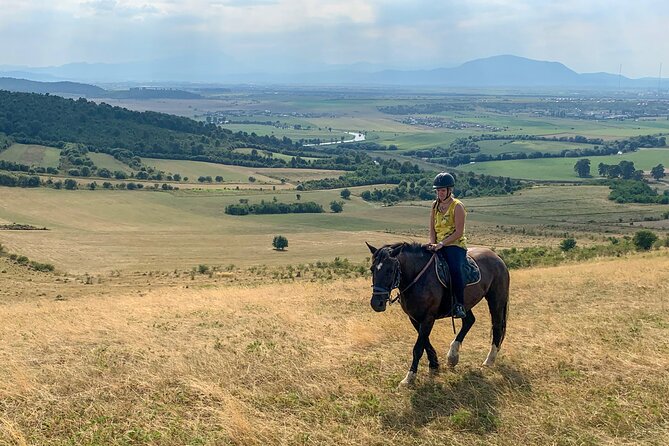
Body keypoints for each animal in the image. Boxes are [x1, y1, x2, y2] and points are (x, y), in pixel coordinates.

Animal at [362, 242, 508, 386]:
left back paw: (489, 360)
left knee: (496, 326)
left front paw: (409, 377)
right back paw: (452, 356)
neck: (418, 278)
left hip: (496, 300)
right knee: (469, 321)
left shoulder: (428, 318)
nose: (377, 303)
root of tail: (497, 257)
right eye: (372, 269)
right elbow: (425, 342)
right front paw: (434, 365)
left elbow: (418, 348)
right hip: (465, 304)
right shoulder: (415, 318)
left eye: (390, 270)